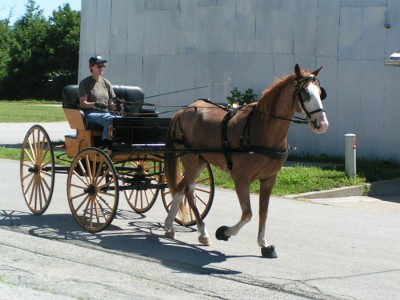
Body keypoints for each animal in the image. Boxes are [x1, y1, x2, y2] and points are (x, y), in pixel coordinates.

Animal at [162, 63, 328, 258]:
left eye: (320, 92)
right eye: (304, 92)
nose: (322, 124)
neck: (263, 129)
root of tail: (185, 110)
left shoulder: (269, 179)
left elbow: (263, 212)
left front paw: (264, 244)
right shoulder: (241, 179)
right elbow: (247, 213)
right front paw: (224, 232)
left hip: (201, 160)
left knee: (181, 187)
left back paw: (169, 226)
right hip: (190, 158)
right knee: (189, 192)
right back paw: (203, 232)